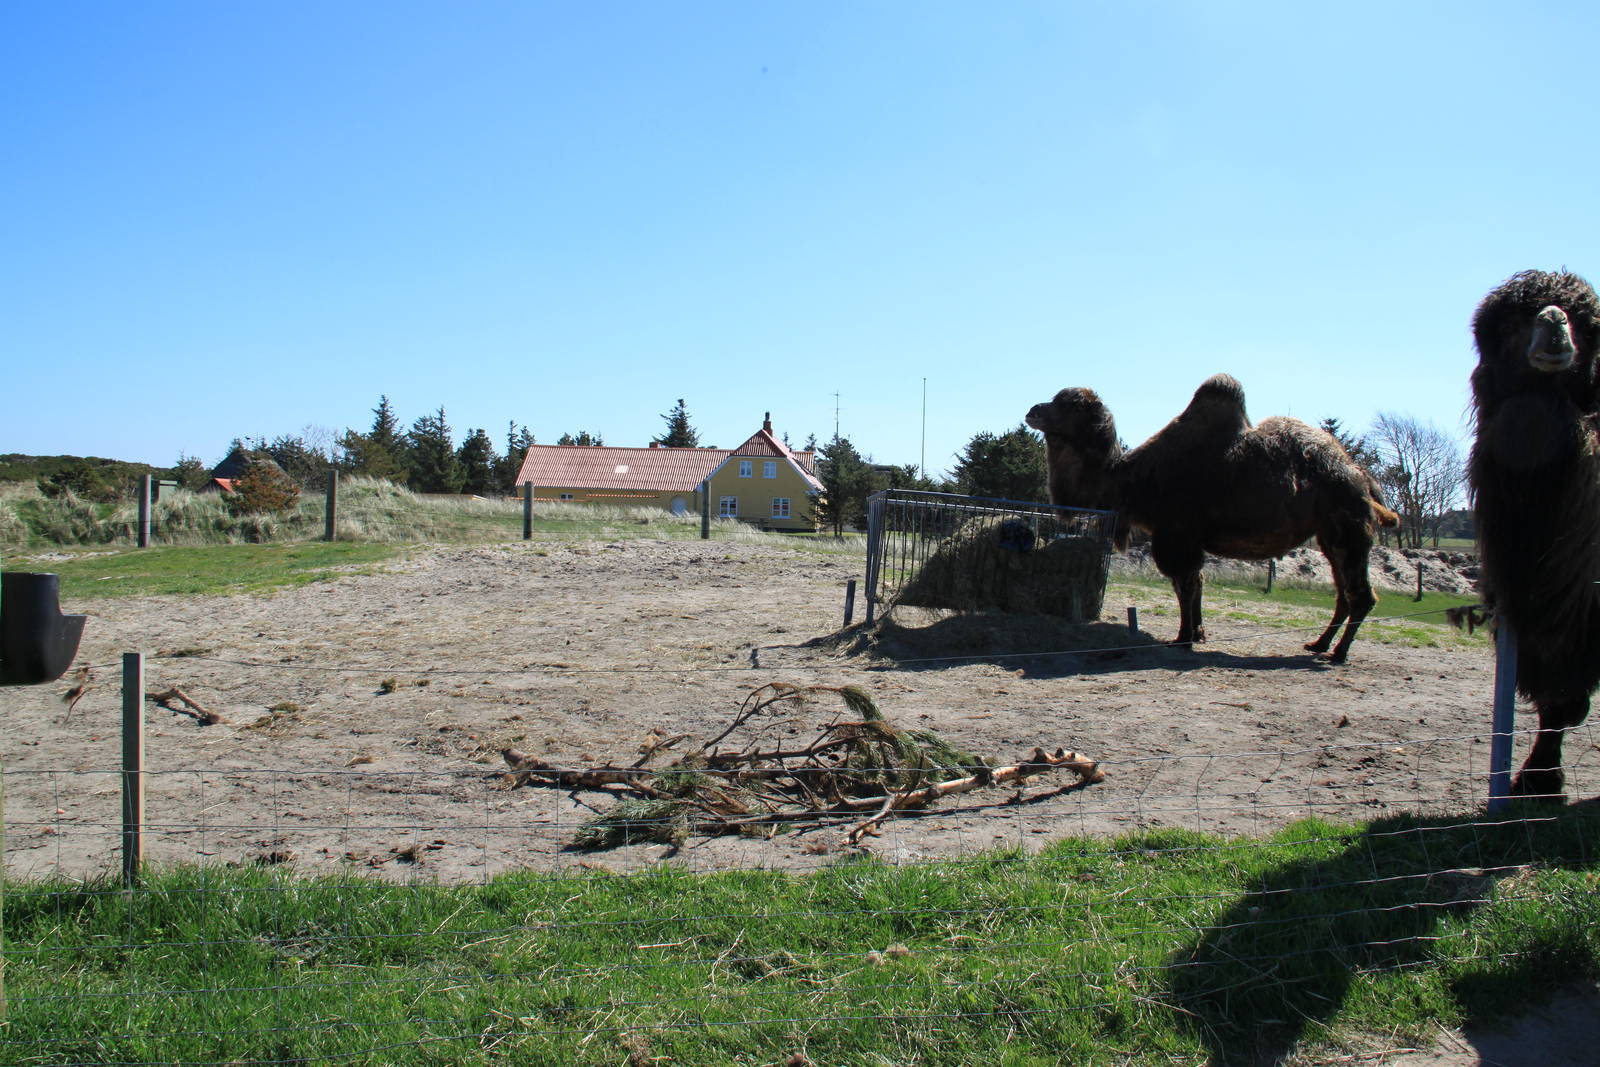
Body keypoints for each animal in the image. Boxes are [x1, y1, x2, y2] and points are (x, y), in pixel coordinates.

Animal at [1025, 374, 1399, 663]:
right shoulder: (1183, 537)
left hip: (1349, 528)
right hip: (1328, 535)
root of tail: (1363, 478)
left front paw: (1184, 638)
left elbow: (1186, 583)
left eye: (1068, 405)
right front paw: (1197, 633)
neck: (1133, 480)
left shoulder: (1176, 533)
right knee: (1342, 592)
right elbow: (1195, 583)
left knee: (1360, 594)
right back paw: (1318, 644)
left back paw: (1338, 653)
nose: (1033, 411)